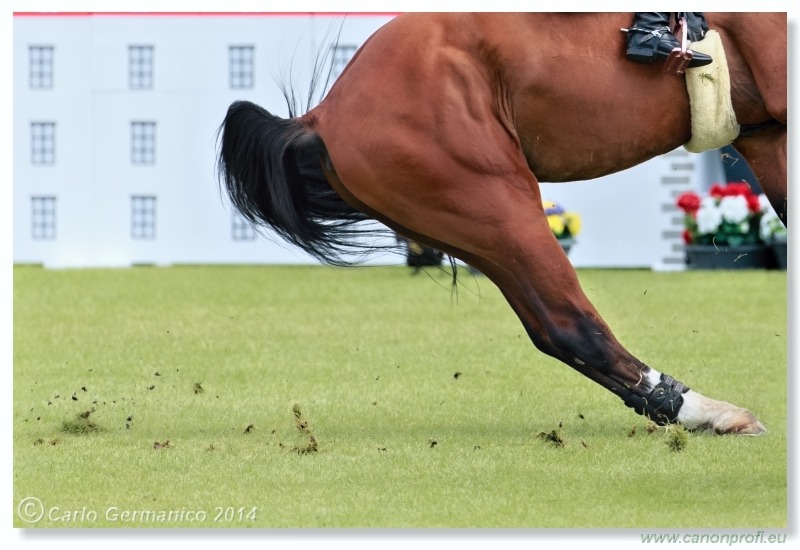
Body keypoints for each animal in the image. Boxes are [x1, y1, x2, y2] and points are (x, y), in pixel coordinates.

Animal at [219, 11, 788, 436]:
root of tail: (325, 114)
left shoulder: (769, 134)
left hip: (475, 229)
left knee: (549, 327)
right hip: (496, 197)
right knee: (569, 323)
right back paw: (707, 411)